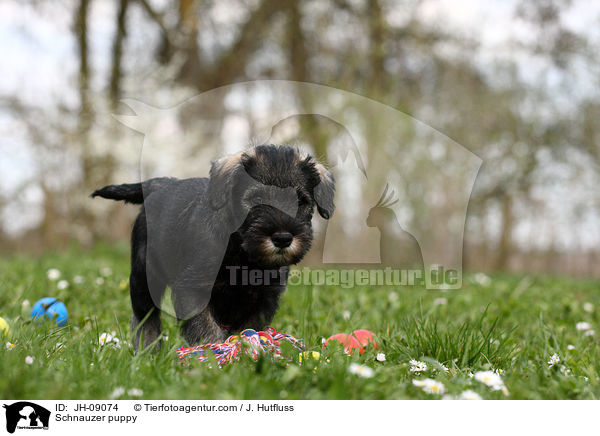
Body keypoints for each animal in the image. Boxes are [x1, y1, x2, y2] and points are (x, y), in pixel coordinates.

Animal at [91, 146, 336, 350]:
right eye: (256, 198)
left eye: (302, 201)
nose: (283, 238)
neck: (243, 255)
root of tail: (162, 184)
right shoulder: (193, 288)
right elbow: (205, 327)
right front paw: (212, 354)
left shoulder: (264, 299)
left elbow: (248, 330)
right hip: (144, 275)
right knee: (144, 317)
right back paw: (147, 352)